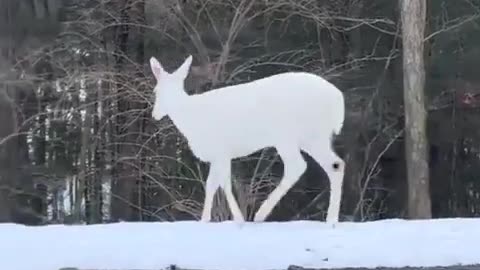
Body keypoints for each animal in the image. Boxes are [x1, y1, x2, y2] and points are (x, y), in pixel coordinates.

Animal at [149, 55, 344, 226]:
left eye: (155, 91)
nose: (154, 115)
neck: (190, 117)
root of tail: (338, 101)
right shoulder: (218, 155)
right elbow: (211, 183)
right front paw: (204, 220)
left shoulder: (221, 150)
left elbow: (223, 183)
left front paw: (238, 218)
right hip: (313, 137)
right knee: (336, 164)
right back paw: (332, 219)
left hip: (288, 135)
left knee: (298, 166)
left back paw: (260, 214)